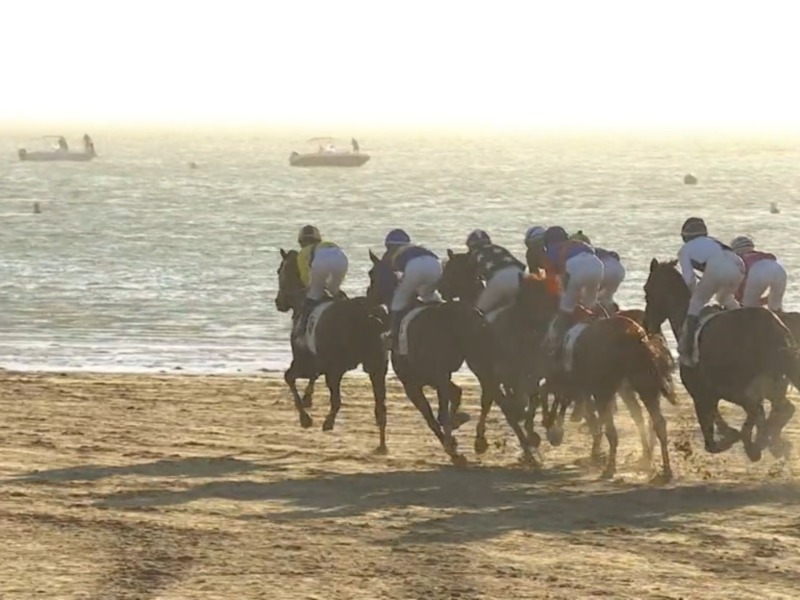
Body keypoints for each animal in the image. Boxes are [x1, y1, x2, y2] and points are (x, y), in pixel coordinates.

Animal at [275, 249, 390, 453]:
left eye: (279, 270)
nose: (278, 302)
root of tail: (366, 315)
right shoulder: (319, 363)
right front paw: (308, 399)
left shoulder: (306, 362)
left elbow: (289, 377)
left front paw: (305, 419)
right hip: (376, 367)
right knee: (380, 408)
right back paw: (382, 445)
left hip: (338, 369)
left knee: (337, 400)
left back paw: (328, 422)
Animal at [366, 250, 535, 464]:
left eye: (372, 275)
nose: (368, 298)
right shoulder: (435, 377)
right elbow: (455, 396)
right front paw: (457, 427)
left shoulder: (413, 383)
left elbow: (431, 416)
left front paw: (451, 444)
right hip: (482, 364)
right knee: (499, 400)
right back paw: (524, 448)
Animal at [517, 275, 677, 481]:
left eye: (525, 294)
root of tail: (637, 337)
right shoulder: (581, 388)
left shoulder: (568, 382)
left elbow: (546, 395)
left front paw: (551, 429)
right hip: (645, 387)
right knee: (657, 424)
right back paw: (663, 468)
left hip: (608, 392)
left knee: (614, 430)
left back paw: (611, 467)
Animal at [643, 258, 800, 461]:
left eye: (647, 289)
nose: (647, 324)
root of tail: (773, 328)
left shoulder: (702, 395)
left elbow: (712, 443)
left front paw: (740, 438)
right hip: (772, 383)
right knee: (784, 408)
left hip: (742, 387)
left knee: (762, 410)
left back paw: (756, 445)